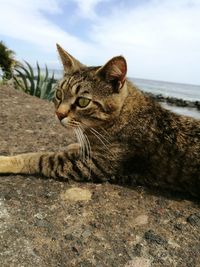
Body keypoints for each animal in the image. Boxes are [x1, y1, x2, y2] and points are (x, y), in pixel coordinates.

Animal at [0, 44, 199, 198]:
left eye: (82, 102)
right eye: (58, 94)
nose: (58, 114)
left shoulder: (91, 165)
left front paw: (6, 161)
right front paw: (74, 145)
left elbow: (37, 158)